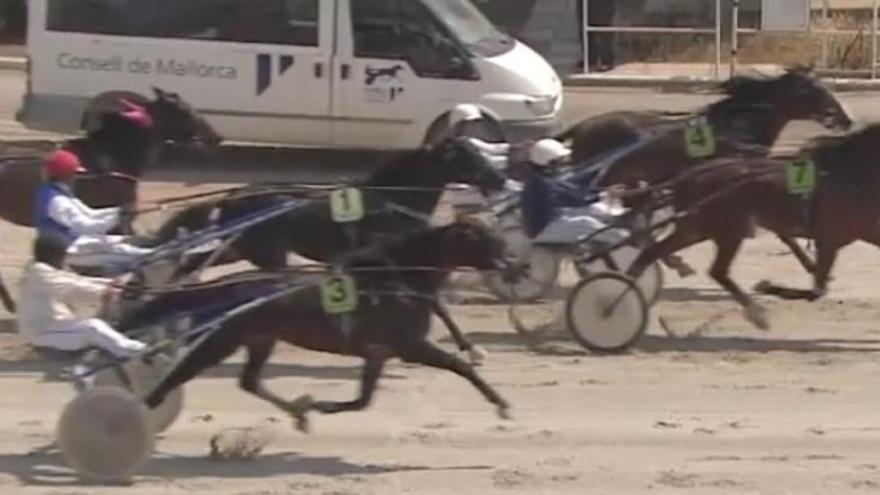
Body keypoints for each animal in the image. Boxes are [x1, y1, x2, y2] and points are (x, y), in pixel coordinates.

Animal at [122, 221, 516, 430]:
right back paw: (141, 412)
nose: (513, 264)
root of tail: (226, 284)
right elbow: (460, 366)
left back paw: (298, 413)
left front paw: (321, 406)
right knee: (180, 374)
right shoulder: (409, 345)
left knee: (249, 381)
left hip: (260, 338)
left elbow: (363, 400)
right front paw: (501, 404)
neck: (397, 278)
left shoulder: (378, 351)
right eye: (487, 240)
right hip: (223, 338)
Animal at [148, 138, 508, 362]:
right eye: (467, 156)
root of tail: (232, 197)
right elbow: (438, 305)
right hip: (267, 254)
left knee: (190, 265)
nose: (500, 179)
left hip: (238, 247)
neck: (389, 200)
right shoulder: (398, 262)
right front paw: (472, 350)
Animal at [624, 124, 880, 332]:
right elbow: (817, 291)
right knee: (717, 271)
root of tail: (689, 175)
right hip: (727, 230)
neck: (851, 178)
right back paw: (757, 314)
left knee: (653, 253)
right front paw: (767, 287)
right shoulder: (828, 239)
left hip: (700, 228)